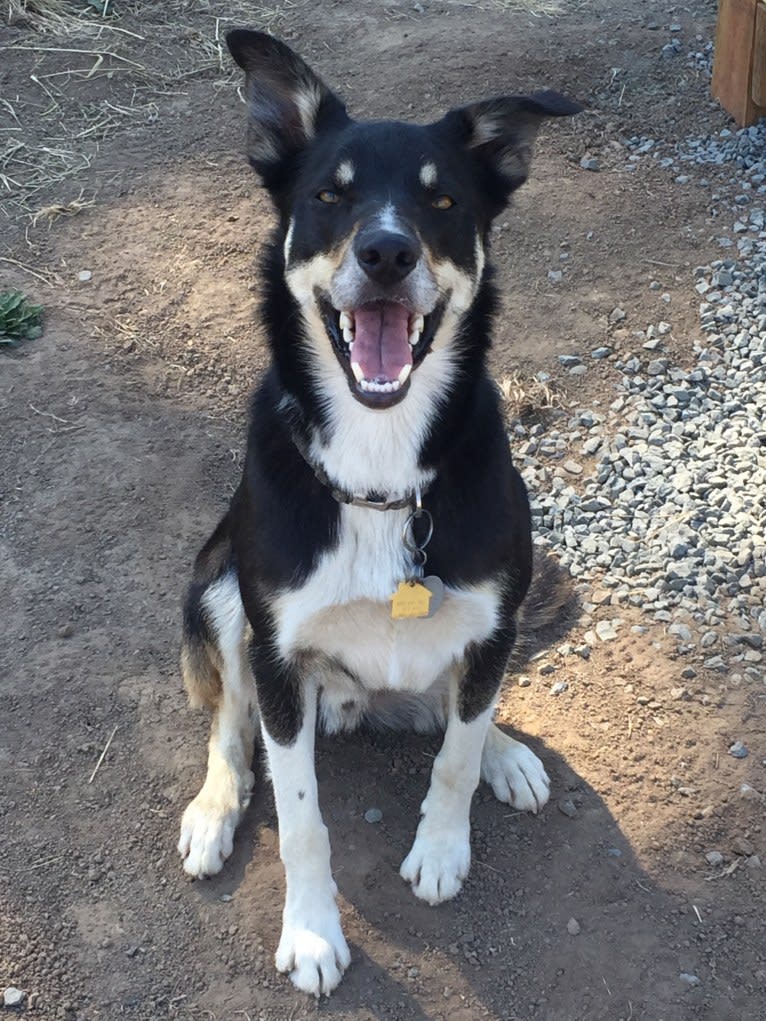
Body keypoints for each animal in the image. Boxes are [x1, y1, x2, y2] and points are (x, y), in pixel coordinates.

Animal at [176, 31, 580, 996]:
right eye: (330, 194)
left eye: (443, 200)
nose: (389, 253)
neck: (380, 459)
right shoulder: (277, 655)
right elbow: (301, 816)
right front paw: (313, 931)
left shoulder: (493, 612)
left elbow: (458, 754)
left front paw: (443, 844)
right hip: (215, 583)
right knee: (229, 722)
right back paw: (213, 807)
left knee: (463, 707)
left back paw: (508, 749)